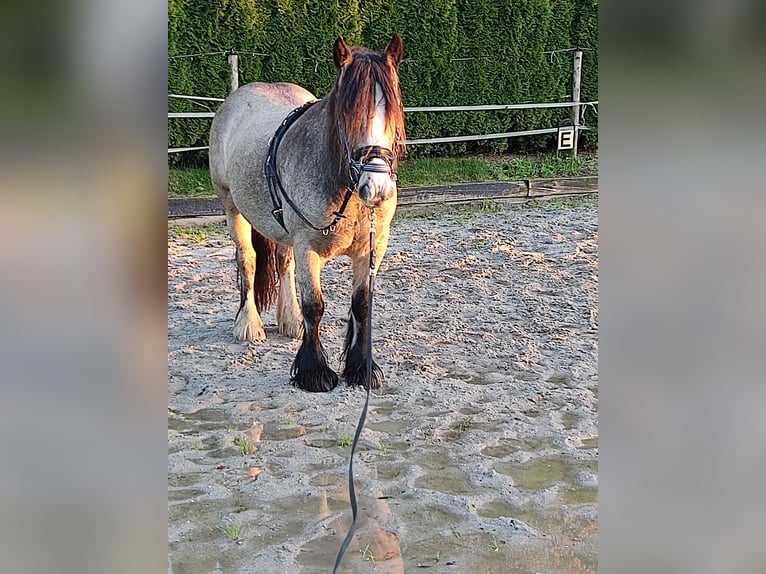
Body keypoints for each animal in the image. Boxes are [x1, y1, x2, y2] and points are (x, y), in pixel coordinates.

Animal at [207, 35, 404, 396]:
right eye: (348, 117)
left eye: (393, 111)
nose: (377, 187)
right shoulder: (308, 248)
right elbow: (315, 305)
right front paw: (314, 372)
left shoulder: (372, 249)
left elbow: (362, 304)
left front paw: (361, 368)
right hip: (232, 210)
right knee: (248, 261)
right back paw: (249, 325)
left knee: (283, 263)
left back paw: (290, 321)